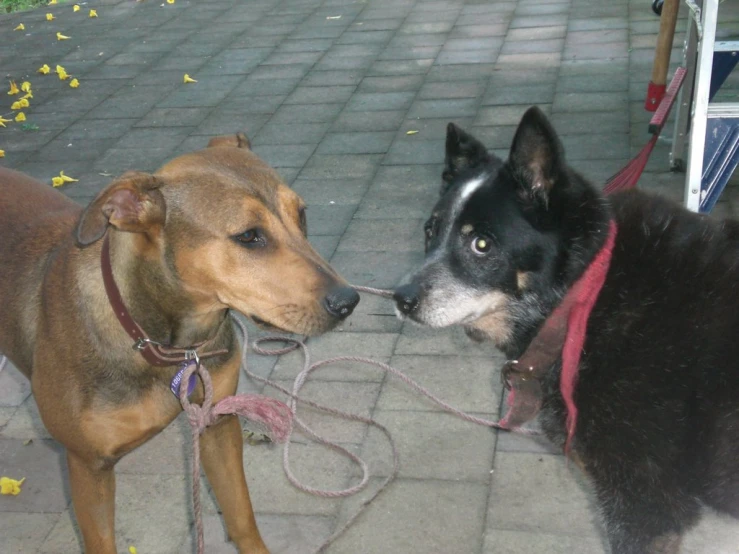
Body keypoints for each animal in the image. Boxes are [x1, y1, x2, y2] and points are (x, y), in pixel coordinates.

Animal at [0, 135, 362, 552]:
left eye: (302, 215)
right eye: (249, 236)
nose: (348, 302)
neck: (159, 340)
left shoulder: (217, 423)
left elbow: (242, 516)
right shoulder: (88, 466)